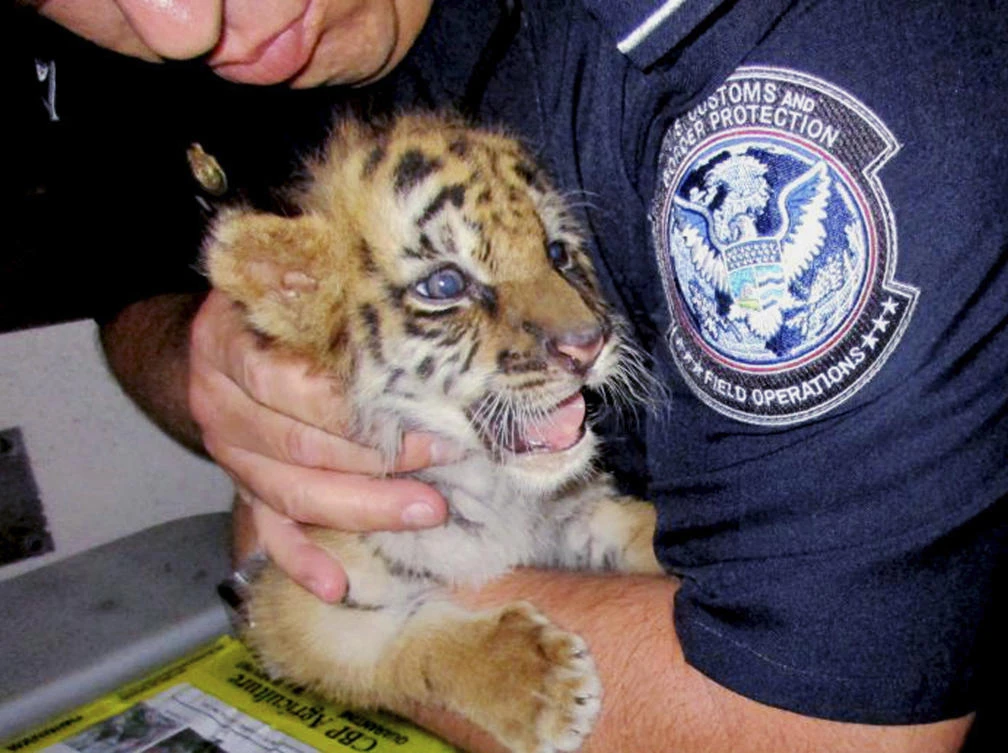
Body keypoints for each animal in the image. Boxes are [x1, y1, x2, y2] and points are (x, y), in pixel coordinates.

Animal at [203, 113, 664, 753]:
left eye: (556, 253)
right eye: (445, 285)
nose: (588, 343)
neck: (492, 488)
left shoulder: (573, 514)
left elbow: (637, 528)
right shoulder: (302, 603)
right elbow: (407, 644)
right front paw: (541, 685)